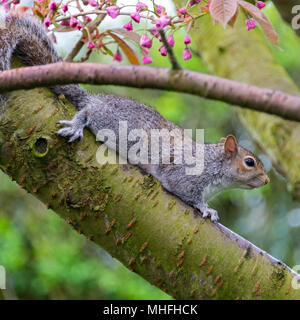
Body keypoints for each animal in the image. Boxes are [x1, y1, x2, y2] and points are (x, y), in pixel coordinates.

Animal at [0, 13, 268, 222]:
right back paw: (78, 124)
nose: (266, 180)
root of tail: (96, 98)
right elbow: (186, 192)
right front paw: (207, 209)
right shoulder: (187, 175)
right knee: (89, 112)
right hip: (111, 122)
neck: (214, 163)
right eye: (250, 162)